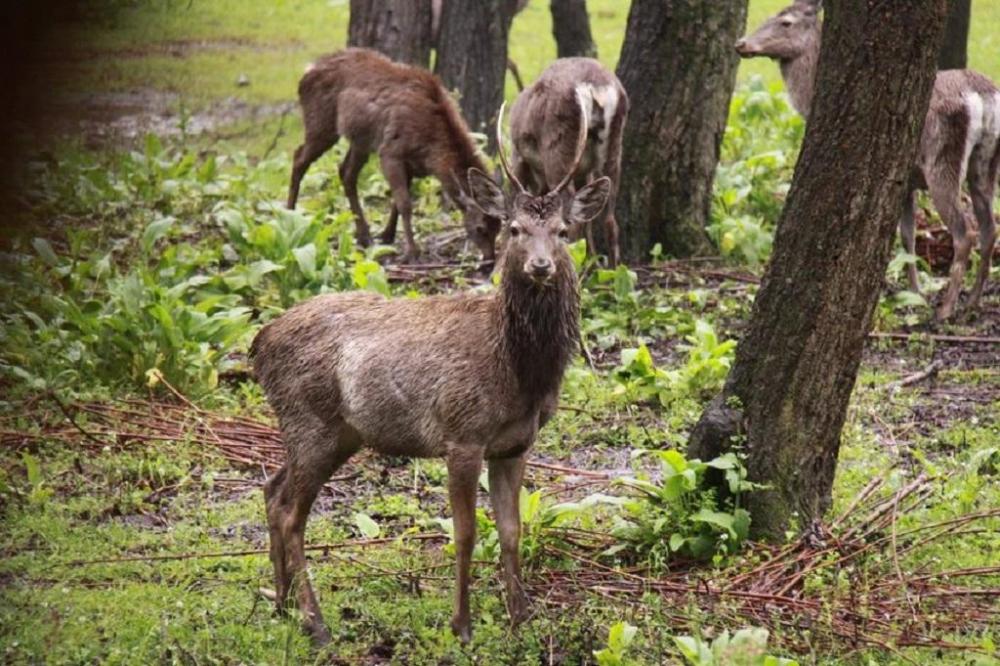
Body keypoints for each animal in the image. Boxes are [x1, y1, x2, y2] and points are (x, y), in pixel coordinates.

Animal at [254, 100, 604, 644]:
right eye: (515, 229)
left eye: (564, 231)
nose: (541, 266)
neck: (519, 372)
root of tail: (258, 344)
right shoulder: (461, 434)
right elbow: (465, 533)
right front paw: (462, 624)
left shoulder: (515, 444)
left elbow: (511, 530)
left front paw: (521, 615)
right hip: (311, 421)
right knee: (292, 512)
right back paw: (316, 621)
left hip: (332, 432)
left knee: (272, 492)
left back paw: (282, 604)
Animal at [290, 47, 504, 262]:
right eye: (481, 228)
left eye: (499, 227)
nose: (490, 257)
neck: (431, 151)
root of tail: (306, 73)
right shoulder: (391, 152)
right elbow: (405, 203)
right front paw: (412, 253)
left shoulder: (410, 163)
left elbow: (396, 202)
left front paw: (387, 235)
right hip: (321, 123)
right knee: (299, 157)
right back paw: (289, 212)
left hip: (361, 141)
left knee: (346, 173)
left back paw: (364, 236)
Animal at [508, 57, 624, 264]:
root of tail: (593, 89)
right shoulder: (584, 172)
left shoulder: (517, 156)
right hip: (612, 150)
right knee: (610, 221)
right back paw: (607, 268)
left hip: (558, 153)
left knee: (573, 220)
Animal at [736, 0, 1000, 320]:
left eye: (785, 22)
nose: (741, 44)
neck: (809, 101)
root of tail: (983, 96)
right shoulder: (906, 181)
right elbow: (907, 236)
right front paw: (915, 294)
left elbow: (905, 237)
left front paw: (917, 296)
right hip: (986, 164)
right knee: (990, 229)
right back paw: (972, 302)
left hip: (943, 160)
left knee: (965, 233)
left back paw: (946, 309)